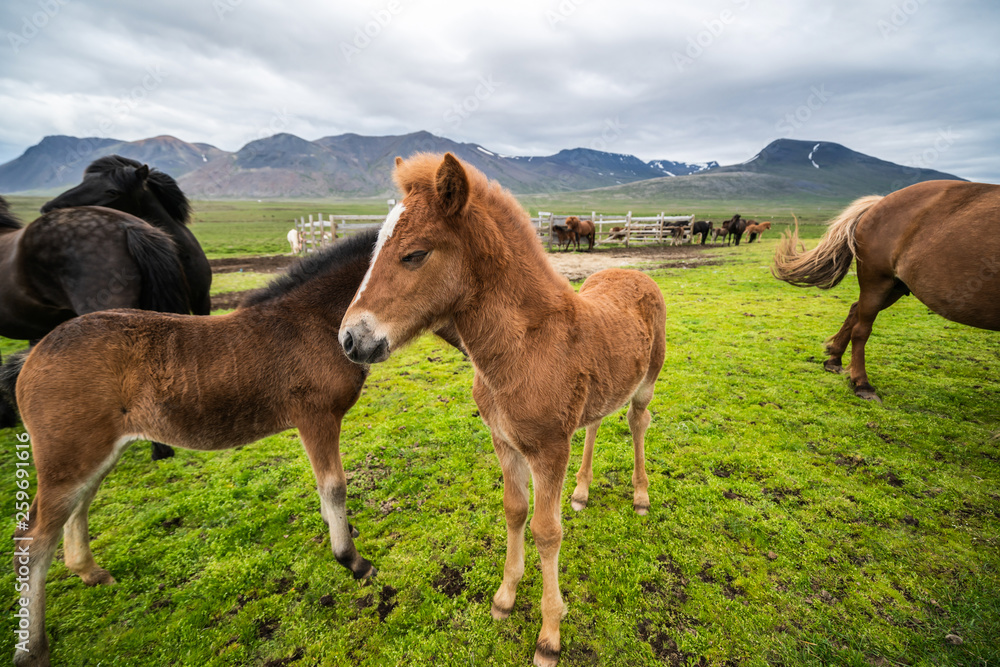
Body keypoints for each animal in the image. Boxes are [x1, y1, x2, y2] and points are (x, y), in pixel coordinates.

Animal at [340, 153, 668, 667]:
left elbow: (546, 531)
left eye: (415, 254)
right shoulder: (504, 440)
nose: (350, 339)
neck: (524, 347)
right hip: (599, 395)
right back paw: (582, 491)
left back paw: (640, 496)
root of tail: (635, 273)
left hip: (646, 384)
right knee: (595, 425)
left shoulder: (549, 450)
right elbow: (515, 511)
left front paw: (550, 634)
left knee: (638, 424)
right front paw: (504, 597)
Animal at [772, 177, 1000, 404]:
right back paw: (862, 384)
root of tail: (878, 202)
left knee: (854, 310)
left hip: (896, 286)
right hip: (878, 281)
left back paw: (834, 361)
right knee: (861, 329)